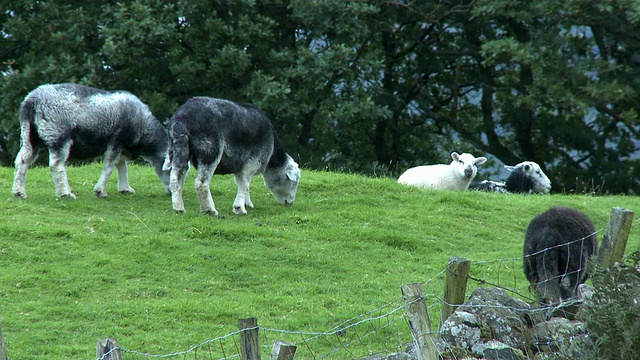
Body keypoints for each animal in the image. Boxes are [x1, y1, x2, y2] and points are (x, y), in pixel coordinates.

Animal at [13, 82, 171, 198]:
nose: (171, 193)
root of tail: (31, 101)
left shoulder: (121, 145)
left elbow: (121, 166)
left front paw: (125, 188)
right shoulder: (117, 140)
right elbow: (110, 165)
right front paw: (100, 191)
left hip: (30, 135)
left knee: (22, 160)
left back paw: (19, 192)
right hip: (58, 134)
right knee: (56, 165)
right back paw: (65, 193)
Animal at [160, 96, 300, 217]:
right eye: (294, 182)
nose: (290, 203)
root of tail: (181, 119)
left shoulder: (239, 166)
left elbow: (242, 183)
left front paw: (247, 204)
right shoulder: (252, 162)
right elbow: (245, 184)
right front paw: (239, 208)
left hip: (178, 148)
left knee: (176, 177)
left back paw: (179, 208)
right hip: (210, 150)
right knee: (201, 182)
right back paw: (209, 210)